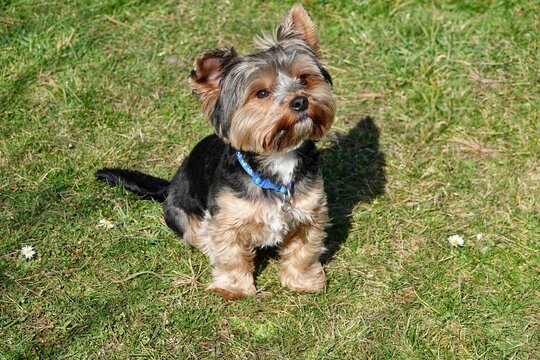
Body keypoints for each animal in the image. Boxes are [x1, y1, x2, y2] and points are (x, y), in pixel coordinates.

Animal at [95, 4, 336, 300]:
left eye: (304, 79)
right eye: (262, 93)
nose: (300, 101)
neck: (278, 158)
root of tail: (170, 186)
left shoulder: (310, 213)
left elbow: (303, 251)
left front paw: (302, 281)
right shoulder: (225, 220)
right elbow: (230, 255)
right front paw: (232, 288)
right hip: (182, 216)